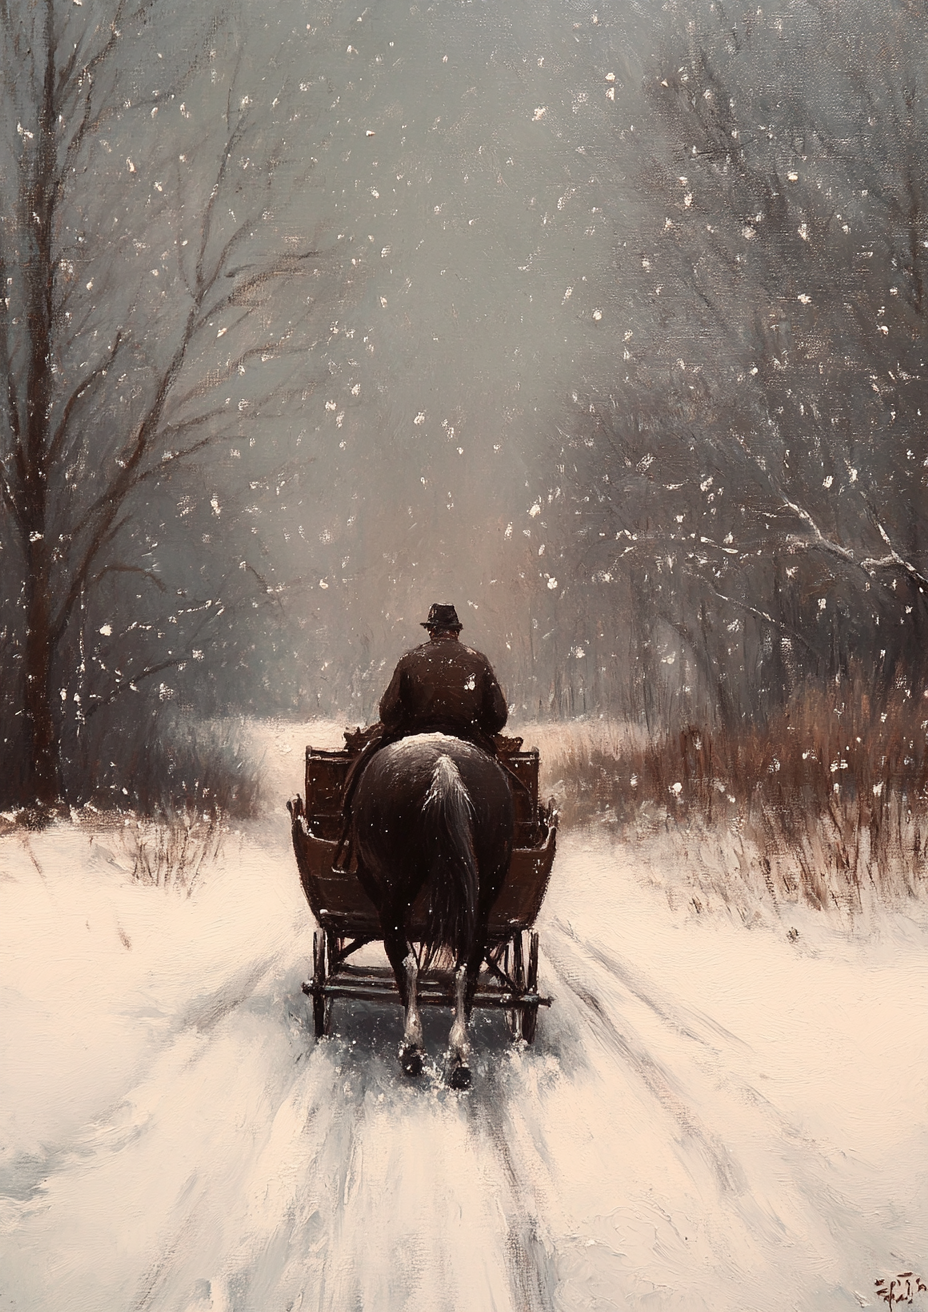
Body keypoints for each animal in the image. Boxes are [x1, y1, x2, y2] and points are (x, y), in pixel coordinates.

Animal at [351, 729, 519, 1086]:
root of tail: (444, 769)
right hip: (482, 896)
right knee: (467, 964)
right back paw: (459, 1060)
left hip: (393, 897)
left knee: (405, 961)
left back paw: (413, 1051)